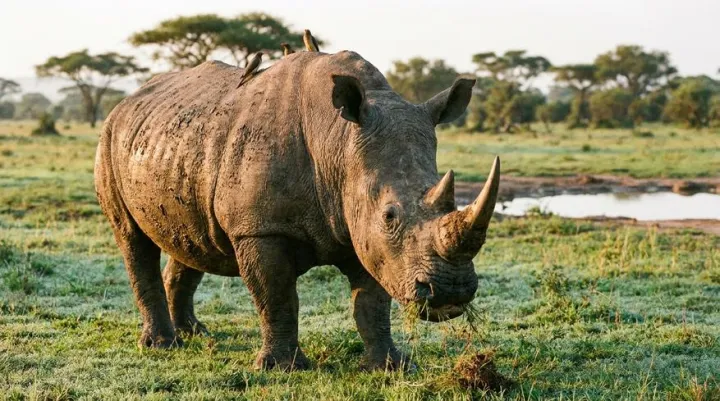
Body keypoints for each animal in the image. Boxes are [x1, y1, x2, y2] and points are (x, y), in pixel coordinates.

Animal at [94, 50, 500, 371]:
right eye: (390, 216)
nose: (451, 292)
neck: (338, 143)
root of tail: (127, 101)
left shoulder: (360, 228)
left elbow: (372, 304)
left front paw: (390, 366)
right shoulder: (260, 228)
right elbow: (277, 297)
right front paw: (281, 368)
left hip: (178, 146)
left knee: (191, 239)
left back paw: (194, 332)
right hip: (109, 137)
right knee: (132, 239)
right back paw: (163, 344)